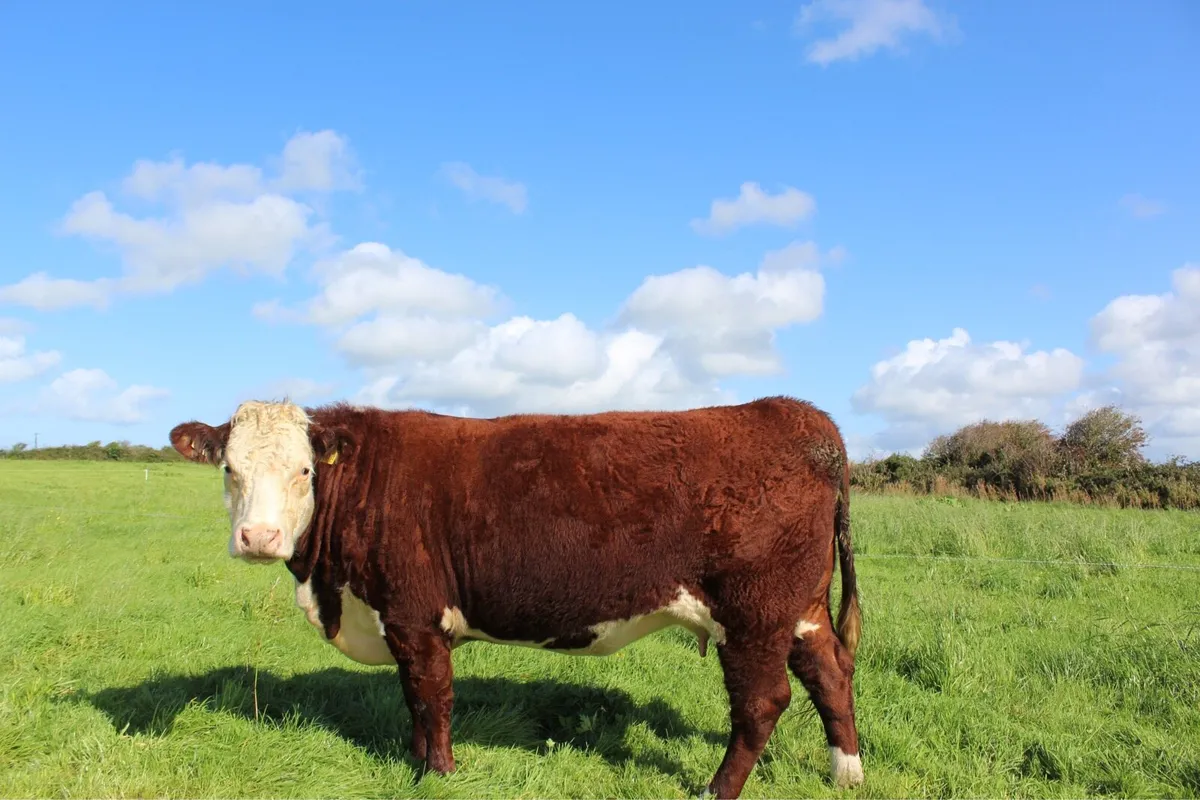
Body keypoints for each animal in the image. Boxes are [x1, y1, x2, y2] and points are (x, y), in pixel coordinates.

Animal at [169, 396, 863, 798]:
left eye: (305, 470)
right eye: (229, 468)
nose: (259, 538)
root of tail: (801, 415)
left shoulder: (414, 615)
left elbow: (432, 697)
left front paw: (438, 775)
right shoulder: (400, 622)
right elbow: (412, 700)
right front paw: (415, 762)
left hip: (753, 613)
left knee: (763, 702)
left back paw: (716, 791)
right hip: (798, 608)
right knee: (830, 670)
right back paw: (846, 773)